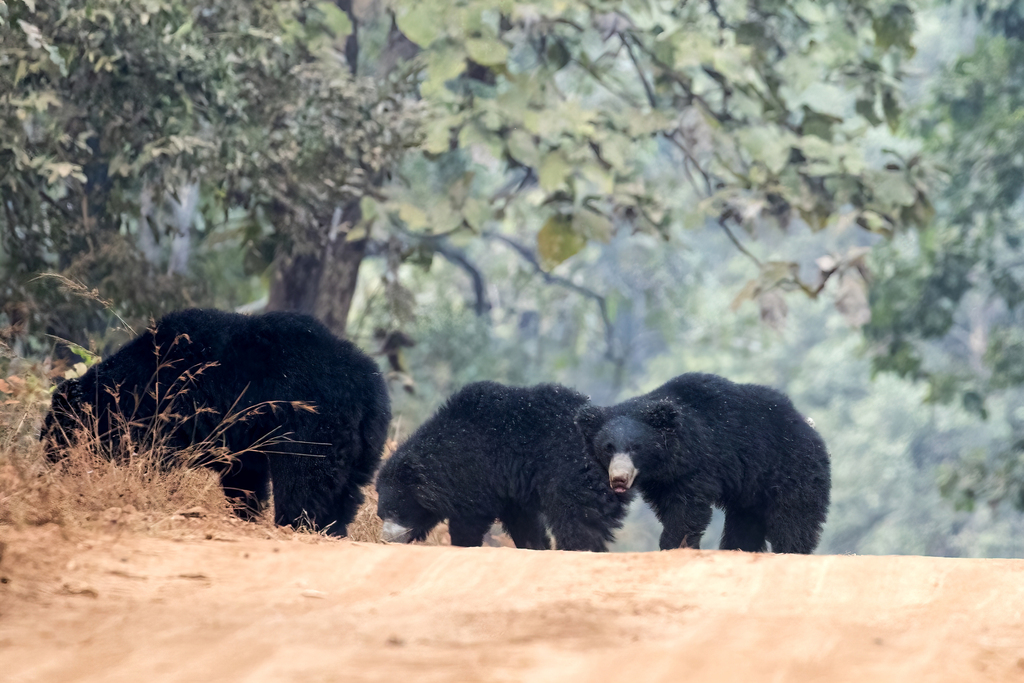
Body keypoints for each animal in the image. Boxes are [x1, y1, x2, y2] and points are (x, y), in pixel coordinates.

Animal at [41, 308, 391, 536]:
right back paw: (332, 529)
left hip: (313, 424)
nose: (47, 469)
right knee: (346, 490)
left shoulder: (177, 409)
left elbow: (157, 461)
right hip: (364, 444)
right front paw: (244, 515)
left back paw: (297, 525)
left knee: (304, 477)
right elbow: (244, 476)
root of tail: (368, 386)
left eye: (55, 436)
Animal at [375, 381, 629, 551]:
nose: (385, 539)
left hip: (573, 469)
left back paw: (579, 548)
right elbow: (524, 521)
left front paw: (463, 544)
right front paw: (535, 545)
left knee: (576, 515)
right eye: (381, 514)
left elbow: (469, 519)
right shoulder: (512, 489)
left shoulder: (477, 473)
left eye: (396, 511)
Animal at [575, 373, 830, 553]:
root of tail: (807, 424)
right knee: (746, 521)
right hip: (751, 490)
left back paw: (789, 550)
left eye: (636, 448)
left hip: (790, 467)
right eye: (608, 448)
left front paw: (673, 544)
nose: (618, 479)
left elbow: (686, 508)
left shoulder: (699, 464)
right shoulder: (662, 480)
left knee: (794, 516)